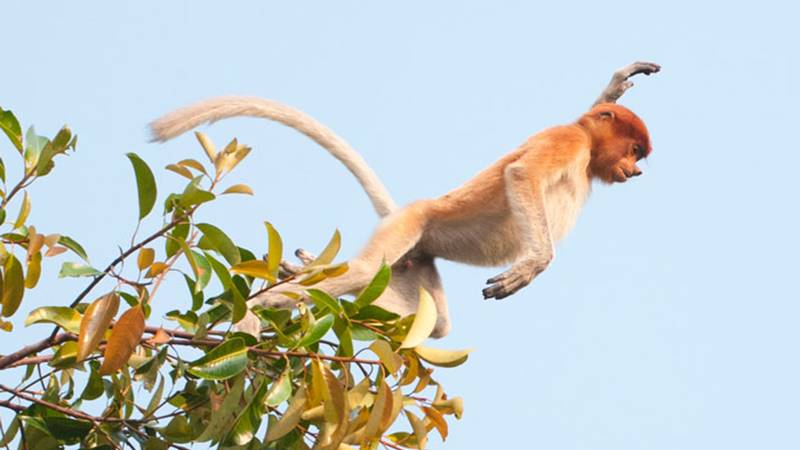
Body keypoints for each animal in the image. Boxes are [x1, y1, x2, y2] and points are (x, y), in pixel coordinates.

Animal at [150, 62, 659, 338]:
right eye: (635, 150)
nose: (634, 171)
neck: (589, 152)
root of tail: (403, 212)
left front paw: (617, 83)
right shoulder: (566, 141)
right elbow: (522, 174)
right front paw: (526, 270)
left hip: (416, 262)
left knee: (435, 323)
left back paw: (300, 270)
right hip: (411, 224)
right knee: (361, 273)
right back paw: (256, 312)